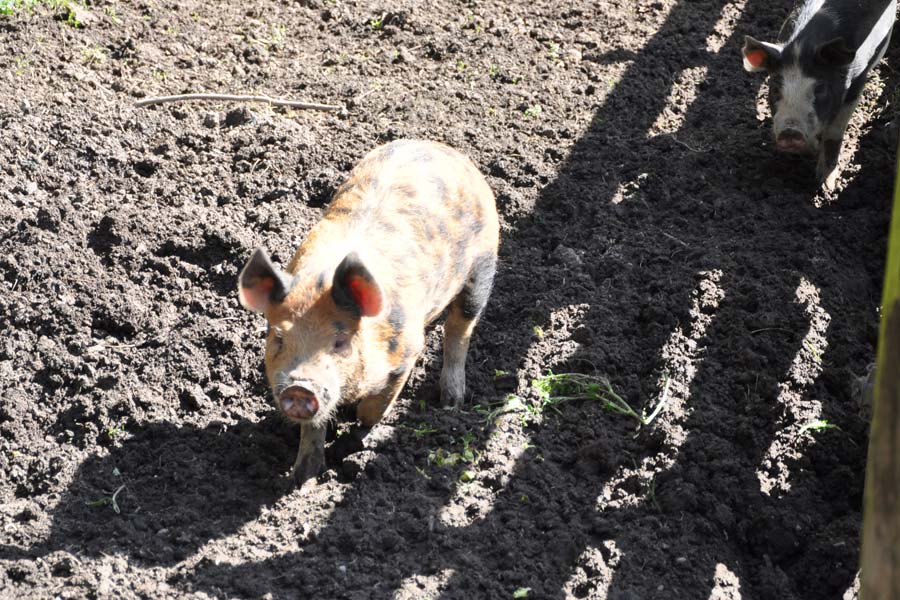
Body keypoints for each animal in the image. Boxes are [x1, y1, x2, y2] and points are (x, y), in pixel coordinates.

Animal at [237, 139, 499, 486]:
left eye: (340, 342)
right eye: (278, 338)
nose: (300, 387)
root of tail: (443, 149)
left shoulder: (407, 352)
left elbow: (373, 411)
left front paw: (351, 439)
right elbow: (313, 429)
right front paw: (303, 478)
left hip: (482, 266)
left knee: (460, 328)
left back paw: (451, 403)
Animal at [742, 0, 897, 189]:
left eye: (820, 88)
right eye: (775, 88)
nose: (790, 132)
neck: (804, 46)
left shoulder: (859, 78)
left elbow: (834, 134)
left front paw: (826, 185)